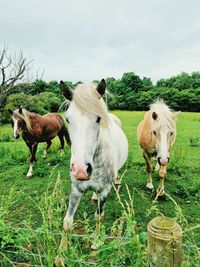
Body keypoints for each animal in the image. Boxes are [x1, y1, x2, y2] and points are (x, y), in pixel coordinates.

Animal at [55, 80, 128, 267]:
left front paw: (96, 242)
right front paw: (60, 255)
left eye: (98, 118)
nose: (81, 170)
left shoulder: (105, 191)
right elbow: (67, 221)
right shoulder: (76, 189)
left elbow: (98, 216)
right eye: (68, 119)